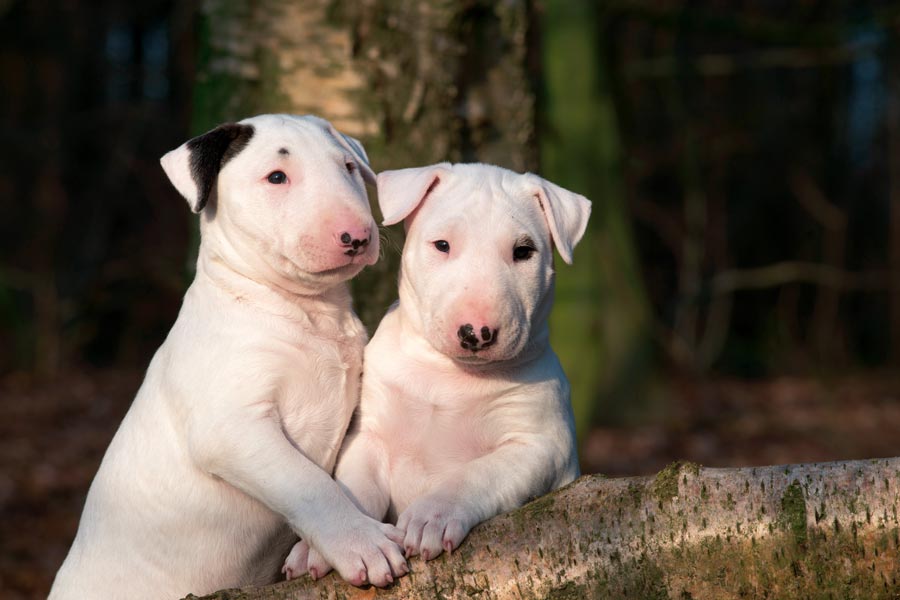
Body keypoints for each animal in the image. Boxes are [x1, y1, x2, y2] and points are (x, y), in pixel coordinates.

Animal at [51, 113, 410, 600]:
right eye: (276, 177)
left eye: (350, 167)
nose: (358, 236)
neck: (305, 311)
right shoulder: (231, 426)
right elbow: (310, 483)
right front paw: (362, 543)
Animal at [284, 162, 592, 580]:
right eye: (442, 245)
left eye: (524, 251)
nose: (476, 332)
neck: (449, 377)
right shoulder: (369, 435)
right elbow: (355, 488)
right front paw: (330, 546)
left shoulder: (542, 446)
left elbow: (478, 472)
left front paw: (431, 517)